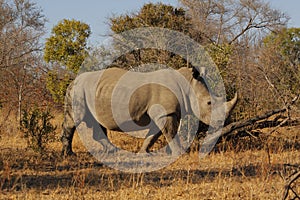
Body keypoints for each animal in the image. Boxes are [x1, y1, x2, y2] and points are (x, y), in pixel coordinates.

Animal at [61, 67, 238, 156]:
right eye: (209, 103)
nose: (222, 122)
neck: (188, 85)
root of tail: (72, 81)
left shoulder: (162, 113)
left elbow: (154, 134)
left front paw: (143, 152)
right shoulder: (166, 112)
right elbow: (170, 132)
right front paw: (181, 153)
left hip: (90, 92)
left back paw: (112, 151)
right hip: (77, 91)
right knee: (74, 120)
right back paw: (69, 154)